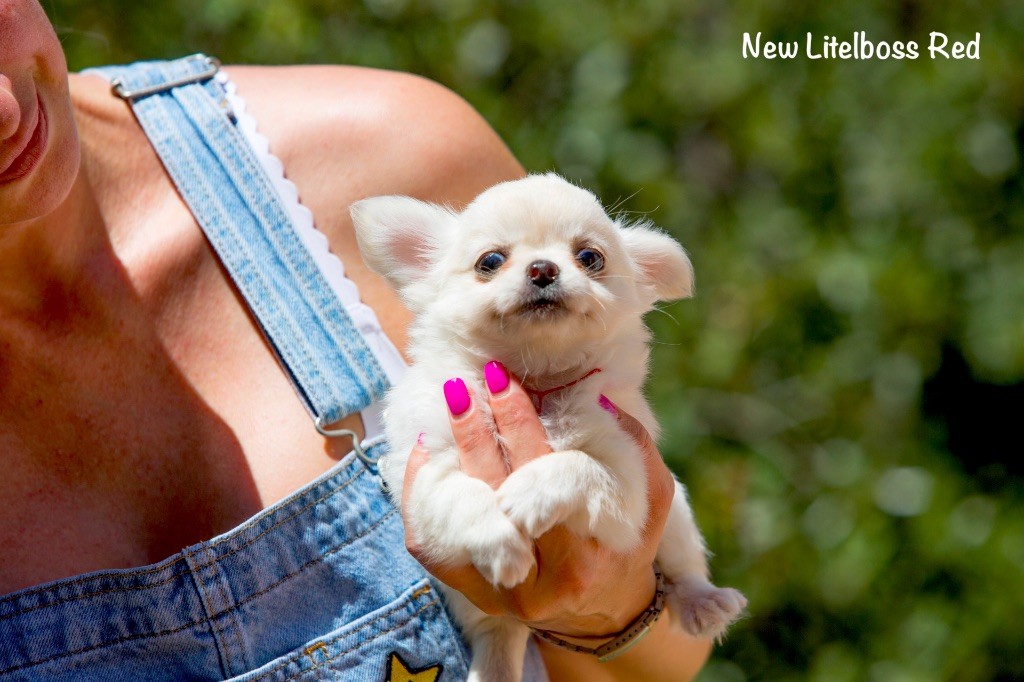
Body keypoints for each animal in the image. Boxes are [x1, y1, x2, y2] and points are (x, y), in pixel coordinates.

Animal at [351, 173, 745, 680]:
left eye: (590, 257)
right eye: (490, 261)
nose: (543, 269)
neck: (535, 385)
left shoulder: (628, 487)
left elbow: (577, 466)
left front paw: (528, 494)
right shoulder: (422, 475)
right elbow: (461, 494)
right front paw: (498, 535)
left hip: (676, 514)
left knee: (685, 568)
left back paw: (705, 603)